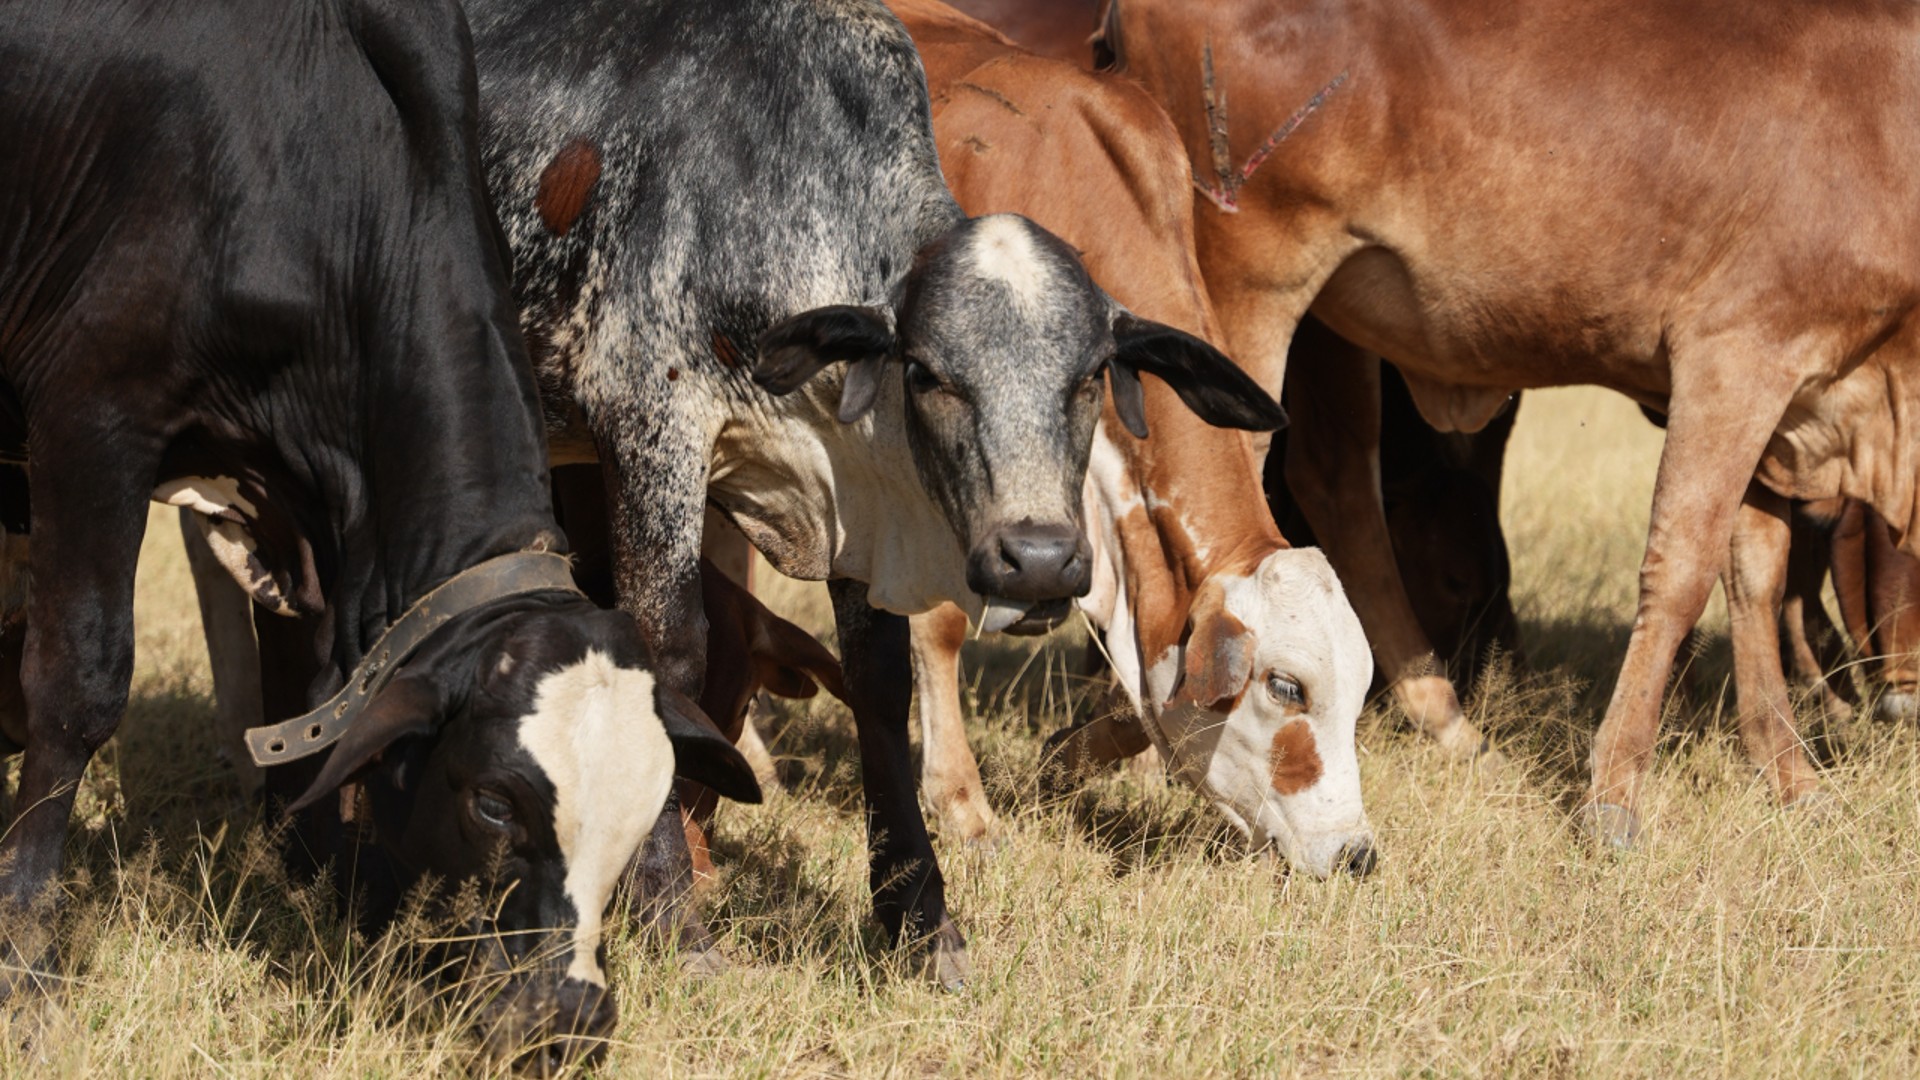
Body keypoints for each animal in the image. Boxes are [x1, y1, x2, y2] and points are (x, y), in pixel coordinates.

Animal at [3, 0, 760, 1060]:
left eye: (648, 808)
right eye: (491, 802)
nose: (568, 1017)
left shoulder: (310, 516)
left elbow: (324, 709)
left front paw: (337, 896)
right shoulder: (94, 418)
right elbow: (76, 693)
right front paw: (26, 969)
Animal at [460, 0, 1290, 980]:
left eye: (1091, 376)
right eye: (927, 373)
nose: (1039, 560)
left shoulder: (858, 509)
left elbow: (882, 683)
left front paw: (921, 920)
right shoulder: (649, 426)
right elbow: (669, 656)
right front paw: (671, 915)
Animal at [890, 0, 1374, 876]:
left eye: (1359, 692)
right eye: (1286, 687)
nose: (1354, 852)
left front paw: (1068, 754)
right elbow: (939, 622)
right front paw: (962, 806)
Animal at [1105, 0, 1920, 841]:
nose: (1902, 699)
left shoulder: (1779, 395)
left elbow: (1757, 571)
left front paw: (1788, 771)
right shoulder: (1732, 359)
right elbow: (1681, 571)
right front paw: (1614, 793)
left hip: (1331, 321)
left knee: (1338, 485)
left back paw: (1449, 724)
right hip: (1243, 290)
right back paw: (1149, 747)